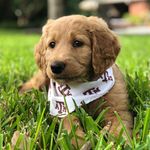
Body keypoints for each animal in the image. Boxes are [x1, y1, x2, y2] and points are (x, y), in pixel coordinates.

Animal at [19, 14, 132, 148]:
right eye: (52, 44)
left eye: (77, 43)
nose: (56, 66)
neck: (83, 87)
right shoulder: (63, 109)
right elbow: (70, 123)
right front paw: (77, 143)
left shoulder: (118, 111)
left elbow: (119, 129)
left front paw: (118, 144)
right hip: (42, 76)